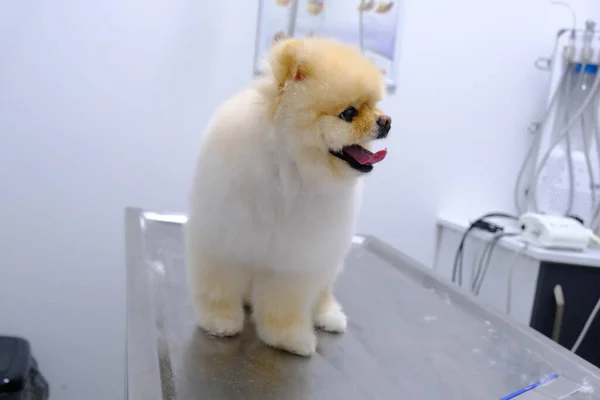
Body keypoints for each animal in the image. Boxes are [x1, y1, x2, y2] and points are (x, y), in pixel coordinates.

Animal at [189, 36, 394, 356]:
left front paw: (287, 338)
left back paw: (329, 316)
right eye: (349, 113)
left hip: (328, 262)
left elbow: (284, 304)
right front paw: (219, 321)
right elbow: (218, 286)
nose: (386, 121)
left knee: (323, 293)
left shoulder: (295, 258)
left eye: (374, 106)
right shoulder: (223, 239)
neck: (290, 169)